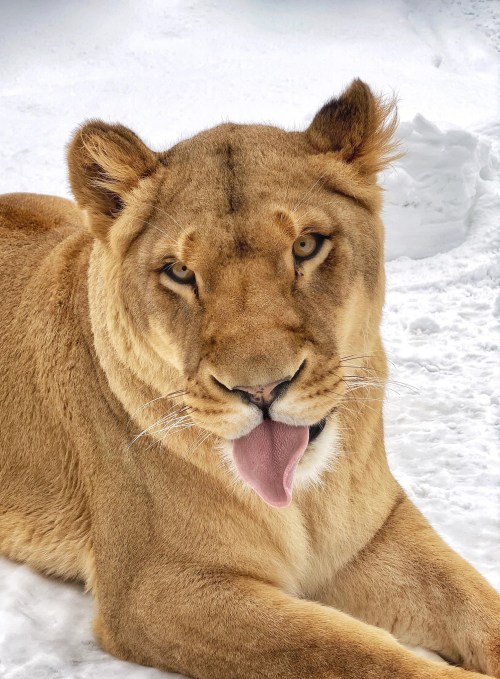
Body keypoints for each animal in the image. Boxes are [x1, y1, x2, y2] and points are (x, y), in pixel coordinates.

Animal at [0, 79, 498, 678]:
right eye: (180, 271)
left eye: (306, 245)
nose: (260, 390)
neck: (304, 497)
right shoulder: (159, 586)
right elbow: (344, 651)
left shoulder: (374, 534)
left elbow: (476, 603)